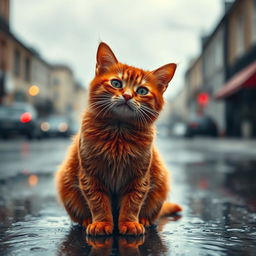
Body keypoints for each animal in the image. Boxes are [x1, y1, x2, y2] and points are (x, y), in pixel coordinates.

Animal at [55, 42, 181, 236]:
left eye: (142, 90)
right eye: (116, 83)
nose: (127, 96)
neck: (118, 135)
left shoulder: (138, 178)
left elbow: (132, 204)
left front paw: (129, 223)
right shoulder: (90, 176)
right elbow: (98, 203)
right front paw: (101, 223)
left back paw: (144, 221)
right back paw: (86, 221)